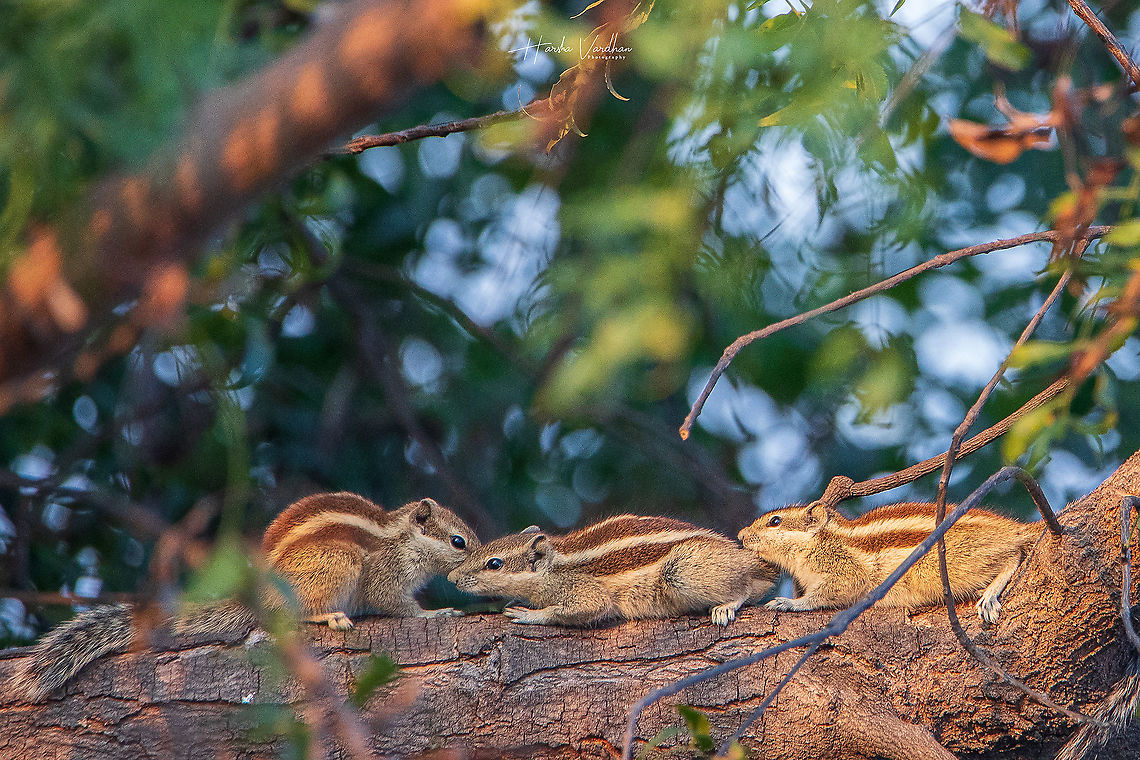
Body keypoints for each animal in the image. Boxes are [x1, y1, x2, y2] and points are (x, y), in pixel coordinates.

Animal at [14, 491, 479, 702]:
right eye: (458, 543)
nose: (472, 567)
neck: (405, 538)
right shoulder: (387, 573)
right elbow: (397, 604)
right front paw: (435, 613)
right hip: (337, 564)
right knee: (291, 615)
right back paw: (328, 617)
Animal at [447, 514, 778, 626]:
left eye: (494, 563)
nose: (452, 578)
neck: (553, 565)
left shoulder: (584, 592)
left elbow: (581, 609)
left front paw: (529, 615)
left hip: (681, 571)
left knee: (745, 589)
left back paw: (726, 606)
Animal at [737, 500, 1038, 623]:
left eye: (775, 521)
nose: (740, 535)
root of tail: (1014, 528)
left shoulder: (844, 570)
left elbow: (823, 595)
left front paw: (790, 603)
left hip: (951, 563)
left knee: (1013, 556)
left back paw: (990, 595)